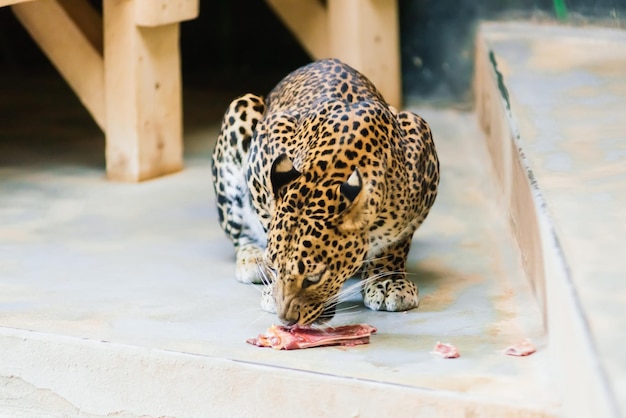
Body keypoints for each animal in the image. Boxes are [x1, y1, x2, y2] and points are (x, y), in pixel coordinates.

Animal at [210, 58, 438, 326]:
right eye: (276, 268)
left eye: (314, 278)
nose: (286, 320)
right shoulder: (263, 151)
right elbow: (268, 218)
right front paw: (271, 287)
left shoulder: (420, 139)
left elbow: (396, 242)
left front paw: (387, 281)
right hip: (241, 108)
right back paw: (252, 258)